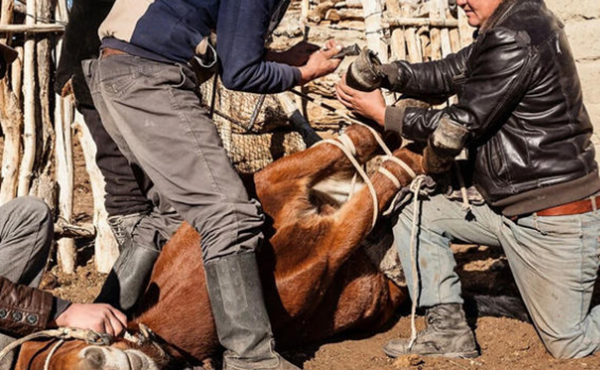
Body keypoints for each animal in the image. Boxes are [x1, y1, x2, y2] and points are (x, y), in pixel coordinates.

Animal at [15, 125, 422, 370]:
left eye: (61, 345)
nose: (94, 357)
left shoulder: (275, 178)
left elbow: (352, 142)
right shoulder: (330, 247)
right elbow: (375, 193)